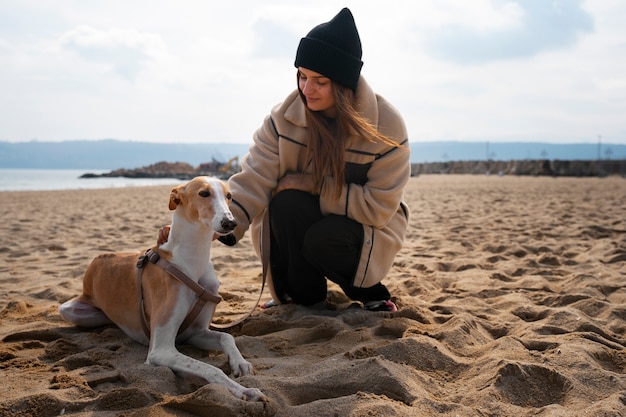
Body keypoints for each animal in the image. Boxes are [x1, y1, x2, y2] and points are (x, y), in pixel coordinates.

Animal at [61, 175, 268, 400]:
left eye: (229, 196)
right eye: (204, 193)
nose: (230, 222)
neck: (192, 261)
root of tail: (96, 259)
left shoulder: (195, 332)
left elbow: (227, 336)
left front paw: (240, 362)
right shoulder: (161, 350)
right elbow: (211, 369)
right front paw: (244, 390)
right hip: (70, 310)